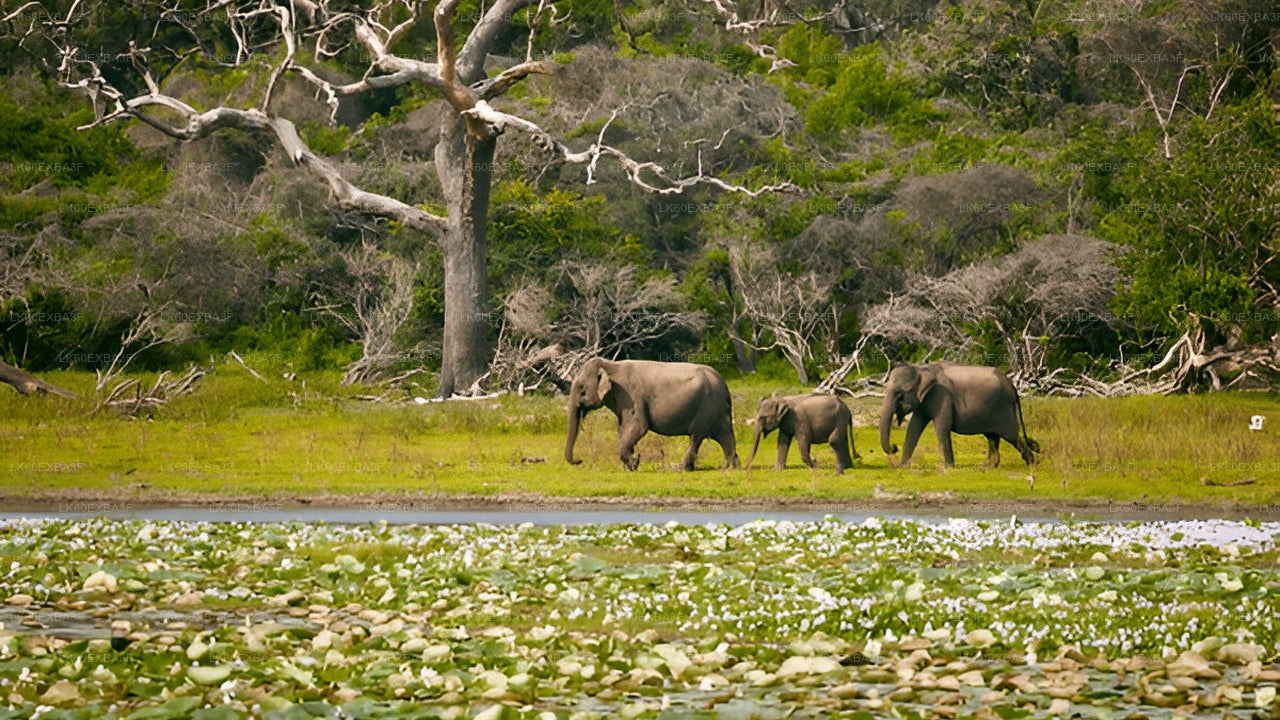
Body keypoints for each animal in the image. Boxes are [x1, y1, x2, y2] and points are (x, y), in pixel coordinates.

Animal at [565, 358, 739, 471]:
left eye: (582, 390)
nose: (579, 460)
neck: (610, 365)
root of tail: (723, 382)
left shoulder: (632, 397)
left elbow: (638, 427)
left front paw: (633, 464)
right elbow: (622, 429)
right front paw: (630, 465)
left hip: (707, 406)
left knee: (696, 437)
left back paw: (681, 468)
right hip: (718, 409)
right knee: (725, 437)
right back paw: (729, 468)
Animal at [879, 363, 1040, 468]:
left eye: (900, 394)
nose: (894, 447)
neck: (921, 369)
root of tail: (1011, 384)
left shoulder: (942, 396)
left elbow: (942, 427)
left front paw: (948, 468)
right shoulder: (924, 400)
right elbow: (914, 427)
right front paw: (903, 467)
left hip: (1003, 408)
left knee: (1011, 436)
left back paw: (1033, 464)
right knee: (993, 437)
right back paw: (988, 467)